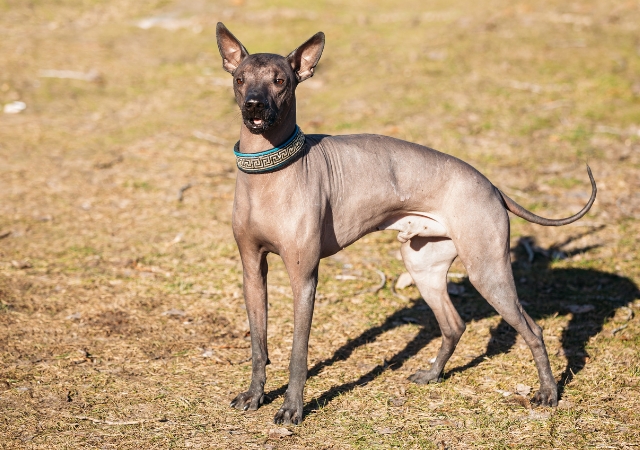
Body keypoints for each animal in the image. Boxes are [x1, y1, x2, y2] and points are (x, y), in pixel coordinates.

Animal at [215, 22, 596, 426]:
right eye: (240, 79)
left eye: (279, 80)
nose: (254, 104)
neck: (269, 170)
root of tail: (491, 185)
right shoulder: (252, 271)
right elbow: (258, 344)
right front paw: (255, 395)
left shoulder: (304, 278)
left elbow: (298, 353)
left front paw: (292, 407)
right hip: (423, 265)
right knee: (453, 324)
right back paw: (432, 374)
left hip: (487, 271)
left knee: (533, 329)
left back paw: (548, 393)